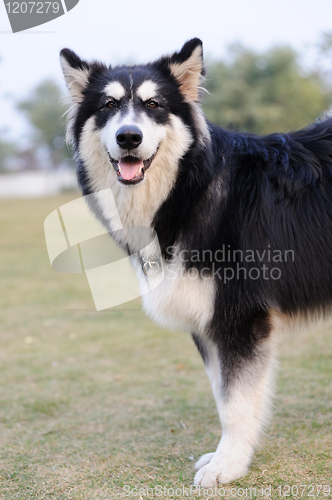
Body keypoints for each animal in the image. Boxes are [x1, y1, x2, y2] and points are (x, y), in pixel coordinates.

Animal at [59, 40, 332, 488]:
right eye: (109, 105)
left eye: (153, 104)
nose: (128, 136)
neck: (189, 189)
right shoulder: (206, 324)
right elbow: (224, 397)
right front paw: (226, 456)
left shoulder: (239, 318)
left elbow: (236, 402)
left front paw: (229, 465)